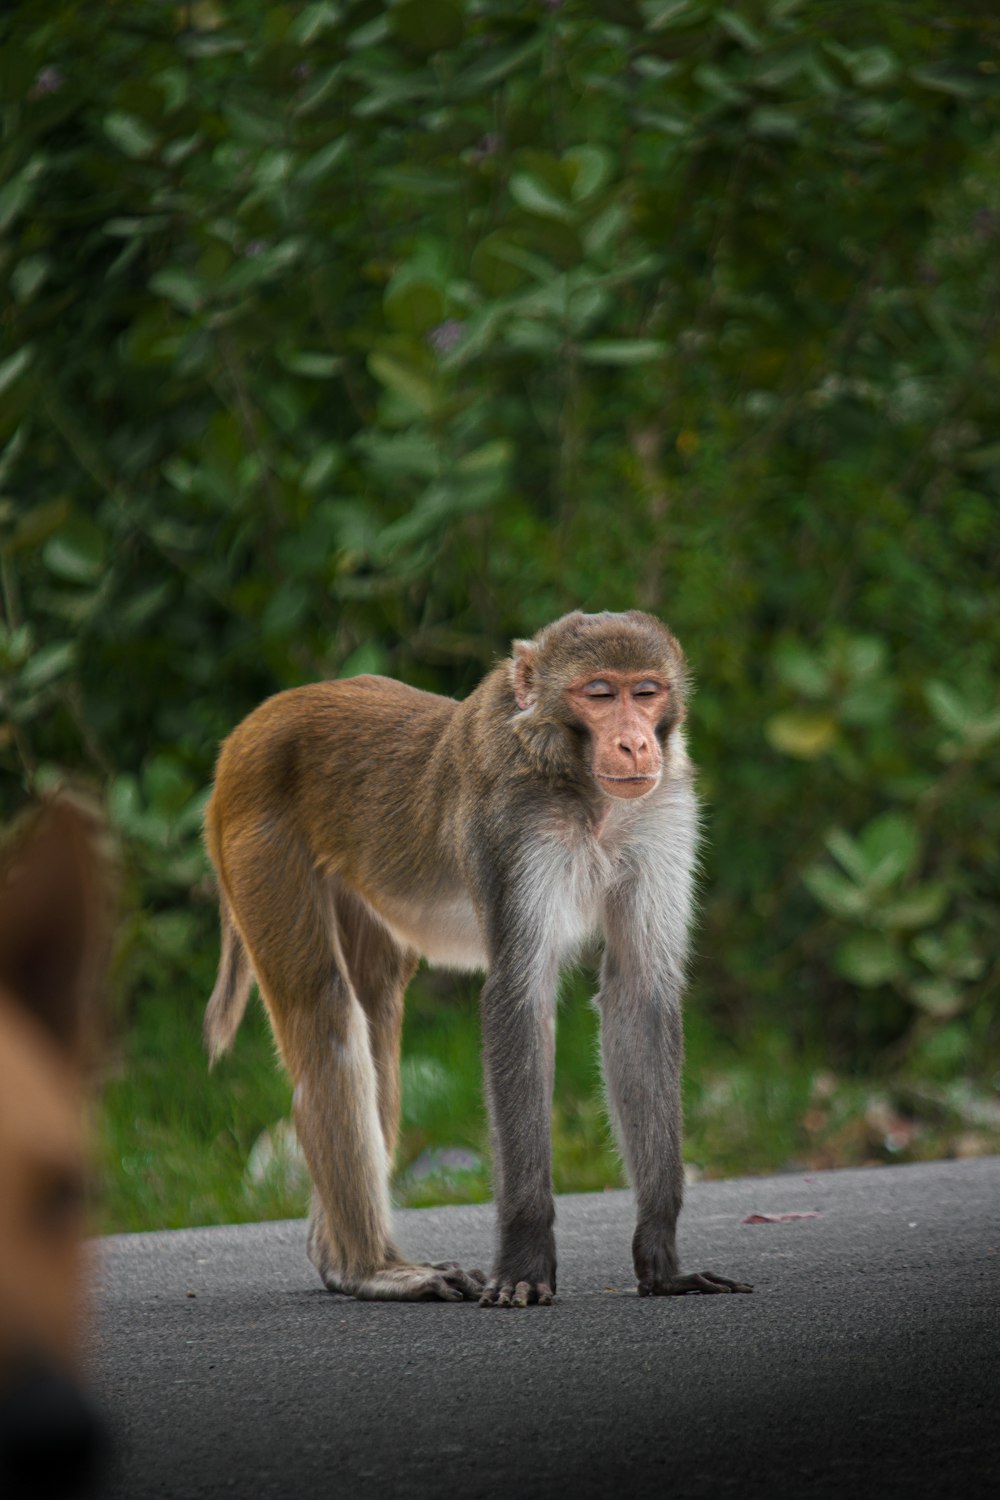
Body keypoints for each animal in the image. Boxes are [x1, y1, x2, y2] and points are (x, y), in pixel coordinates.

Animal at [203, 609, 749, 1302]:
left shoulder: (662, 811)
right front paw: (524, 1260)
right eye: (600, 694)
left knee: (376, 1011)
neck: (576, 783)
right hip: (260, 841)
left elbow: (638, 994)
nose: (634, 745)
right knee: (326, 1015)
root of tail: (253, 725)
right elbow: (518, 995)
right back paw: (371, 1269)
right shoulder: (512, 823)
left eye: (645, 692)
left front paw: (662, 1258)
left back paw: (336, 1262)